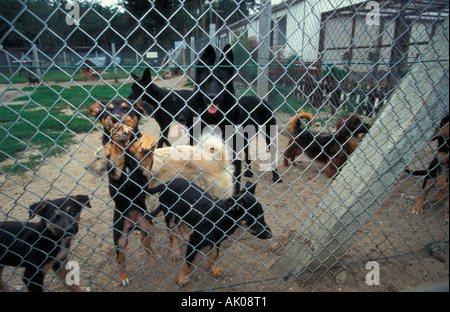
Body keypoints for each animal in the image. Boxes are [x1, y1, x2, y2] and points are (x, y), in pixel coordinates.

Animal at [87, 98, 159, 286]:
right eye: (107, 111)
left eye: (127, 109)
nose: (115, 118)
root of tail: (133, 223)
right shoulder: (115, 174)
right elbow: (115, 155)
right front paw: (116, 143)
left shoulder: (144, 172)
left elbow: (145, 152)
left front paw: (146, 141)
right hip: (119, 236)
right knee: (121, 258)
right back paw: (123, 276)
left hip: (148, 225)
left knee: (144, 241)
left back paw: (153, 255)